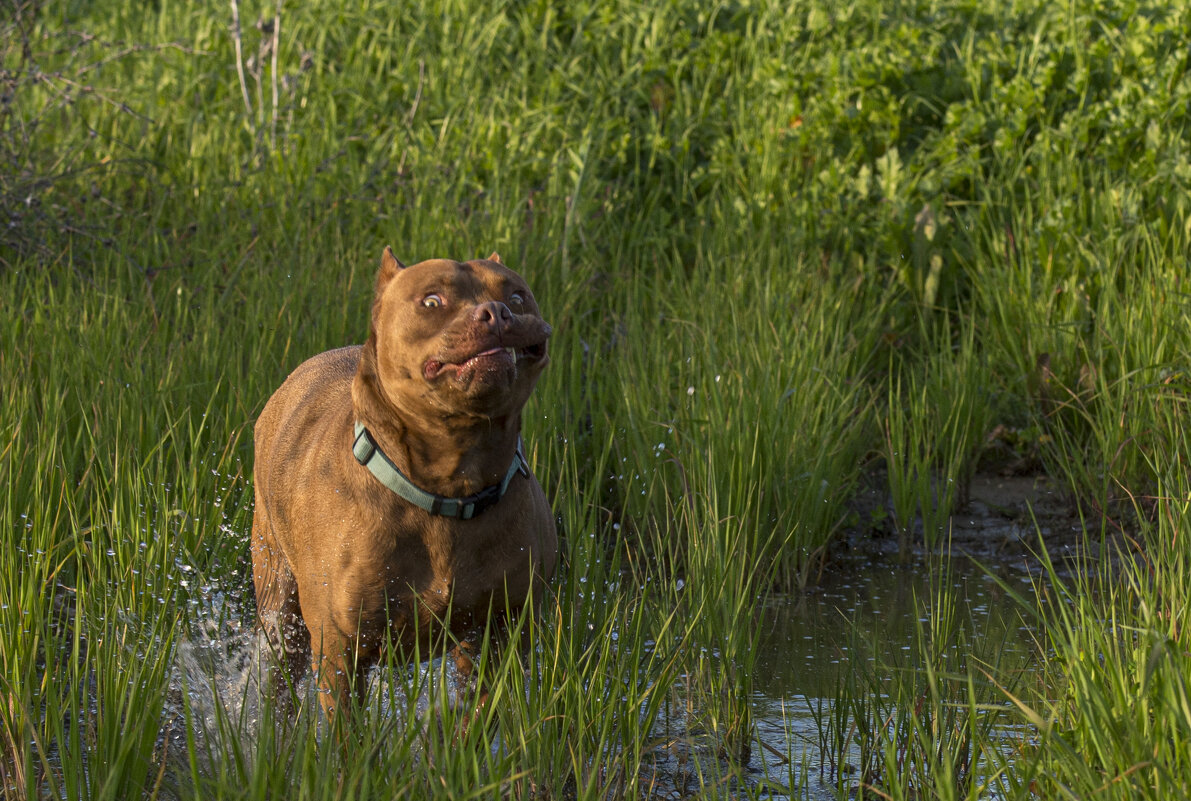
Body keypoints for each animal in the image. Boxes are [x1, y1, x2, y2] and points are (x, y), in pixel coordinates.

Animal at [252, 246, 557, 714]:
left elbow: (478, 716)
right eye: (431, 301)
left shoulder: (499, 636)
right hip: (280, 606)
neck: (449, 488)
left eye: (518, 296)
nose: (497, 312)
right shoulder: (341, 652)